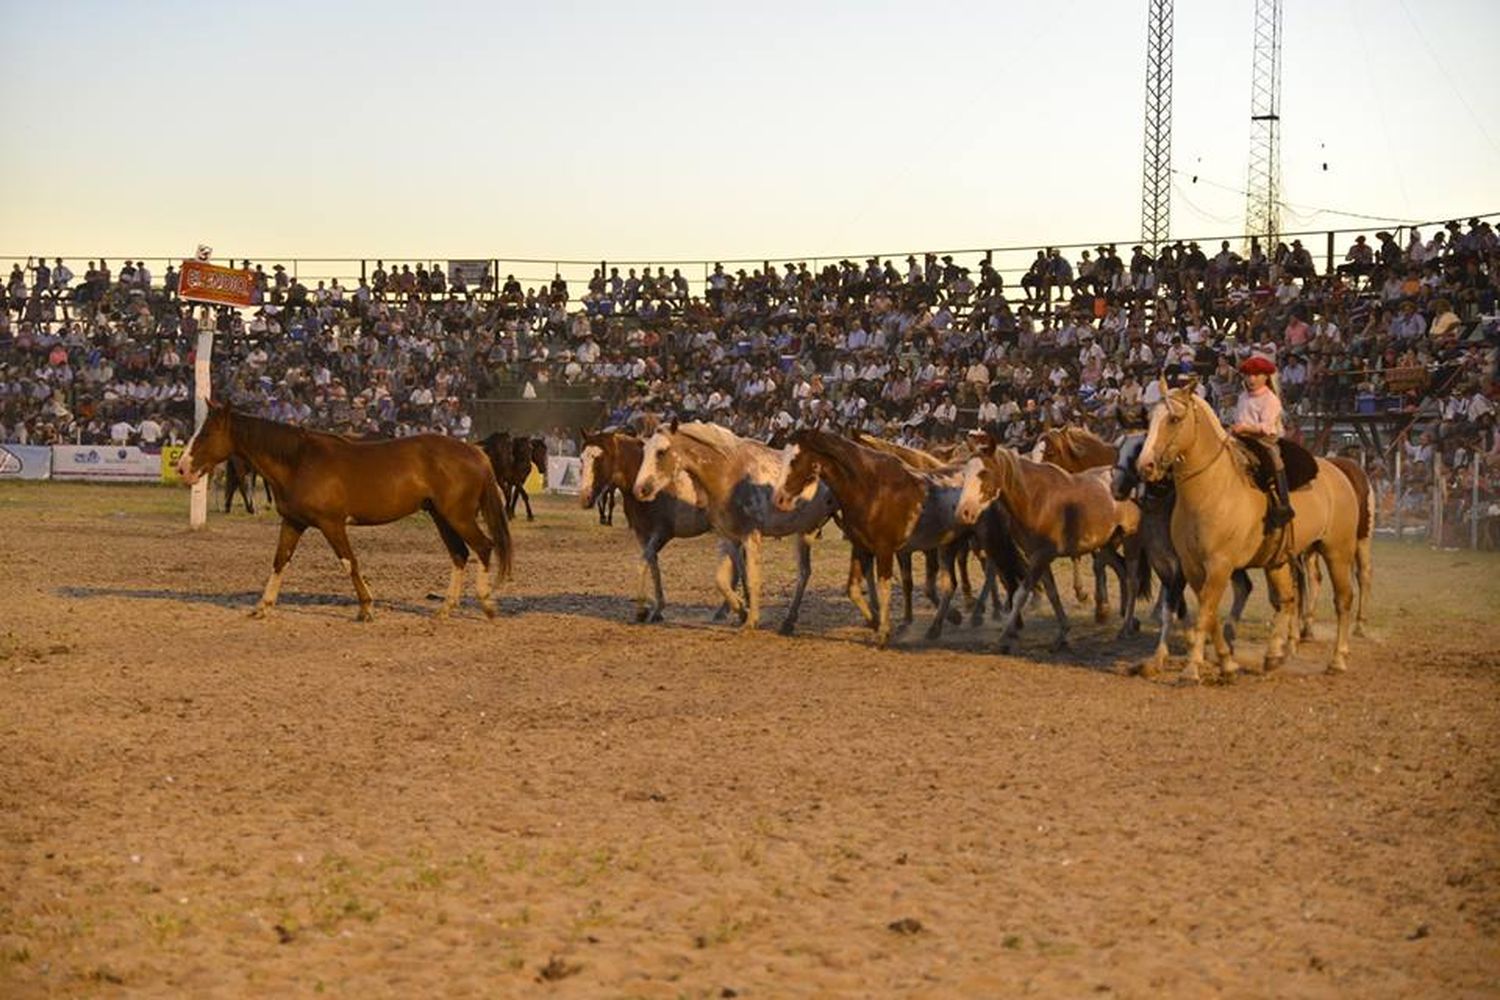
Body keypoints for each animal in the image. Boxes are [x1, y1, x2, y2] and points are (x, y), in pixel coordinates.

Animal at [177, 401, 510, 620]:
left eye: (206, 434)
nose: (182, 468)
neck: (299, 461)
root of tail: (476, 452)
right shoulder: (293, 522)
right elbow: (280, 561)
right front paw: (263, 605)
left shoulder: (332, 524)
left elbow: (349, 562)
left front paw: (366, 608)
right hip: (442, 517)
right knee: (460, 554)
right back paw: (446, 608)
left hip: (458, 516)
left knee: (483, 546)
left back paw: (487, 604)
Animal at [573, 431, 744, 626]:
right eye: (581, 459)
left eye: (599, 459)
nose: (585, 498)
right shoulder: (642, 534)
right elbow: (653, 566)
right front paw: (656, 610)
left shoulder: (661, 534)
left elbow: (643, 563)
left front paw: (642, 610)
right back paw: (725, 611)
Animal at [774, 428, 972, 650]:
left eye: (795, 459)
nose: (780, 498)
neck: (872, 490)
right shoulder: (863, 547)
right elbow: (854, 588)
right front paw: (877, 622)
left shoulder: (889, 549)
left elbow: (891, 585)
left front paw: (885, 632)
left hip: (951, 546)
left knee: (953, 580)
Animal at [954, 434, 1140, 653]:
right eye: (965, 473)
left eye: (984, 472)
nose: (964, 512)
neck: (1037, 500)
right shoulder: (1037, 556)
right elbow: (1052, 593)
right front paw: (1063, 634)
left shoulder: (1041, 556)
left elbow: (1021, 594)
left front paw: (1003, 638)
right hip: (1107, 544)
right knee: (1122, 571)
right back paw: (1129, 622)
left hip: (1130, 539)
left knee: (1133, 580)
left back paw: (1124, 628)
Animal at [1140, 383, 1368, 680]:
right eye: (1150, 418)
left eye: (1174, 419)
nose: (1145, 466)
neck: (1213, 489)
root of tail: (1339, 472)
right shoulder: (1192, 567)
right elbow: (1209, 613)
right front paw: (1226, 663)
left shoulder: (1220, 565)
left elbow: (1206, 611)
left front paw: (1192, 668)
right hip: (1278, 562)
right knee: (1286, 600)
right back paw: (1274, 656)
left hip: (1337, 551)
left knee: (1342, 599)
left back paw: (1338, 659)